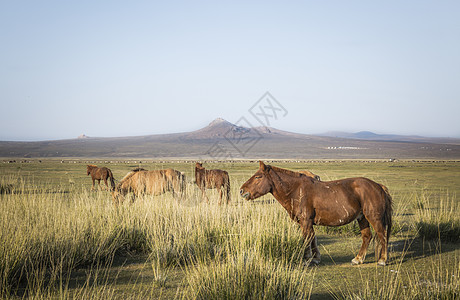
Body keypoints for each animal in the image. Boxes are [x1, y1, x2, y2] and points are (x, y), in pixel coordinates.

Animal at [239, 161, 394, 266]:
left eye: (258, 177)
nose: (242, 190)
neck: (296, 190)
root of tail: (378, 186)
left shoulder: (305, 222)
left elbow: (307, 239)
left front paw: (307, 259)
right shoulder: (307, 223)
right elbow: (313, 239)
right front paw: (315, 258)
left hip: (374, 218)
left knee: (382, 235)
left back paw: (382, 260)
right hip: (362, 218)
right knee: (367, 237)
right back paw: (358, 259)